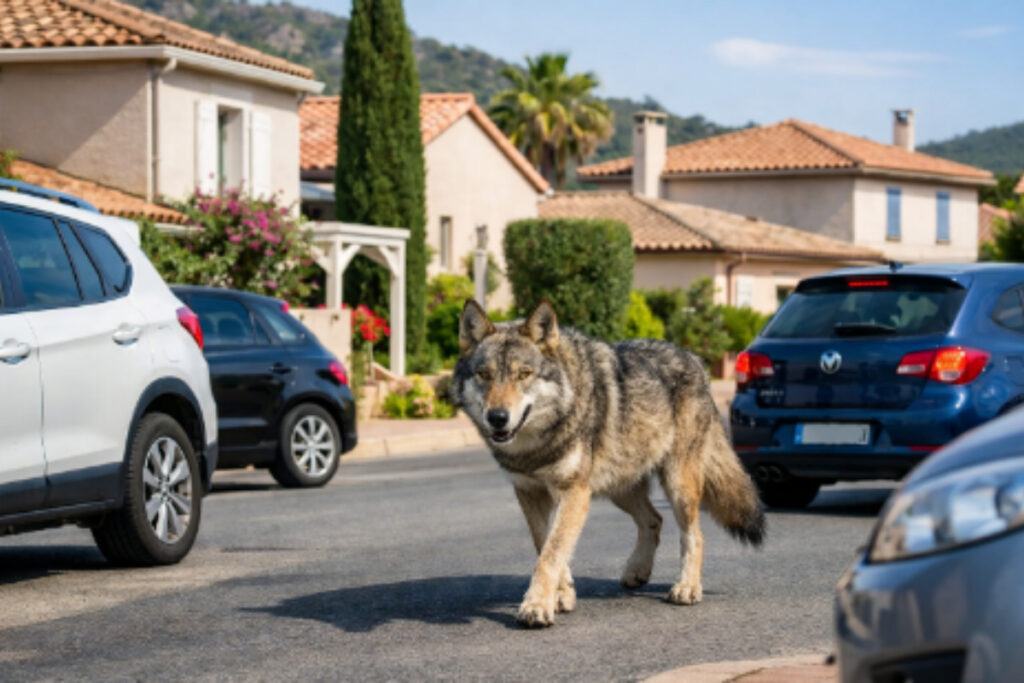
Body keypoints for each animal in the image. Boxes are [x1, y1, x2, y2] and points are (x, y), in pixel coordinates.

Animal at [450, 299, 765, 628]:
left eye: (523, 374)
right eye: (484, 374)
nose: (497, 417)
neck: (536, 445)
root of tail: (695, 360)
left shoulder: (573, 492)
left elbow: (552, 553)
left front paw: (536, 605)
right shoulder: (530, 493)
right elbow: (546, 545)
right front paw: (561, 594)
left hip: (678, 486)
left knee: (694, 534)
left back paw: (688, 587)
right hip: (618, 489)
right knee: (654, 519)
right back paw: (637, 571)